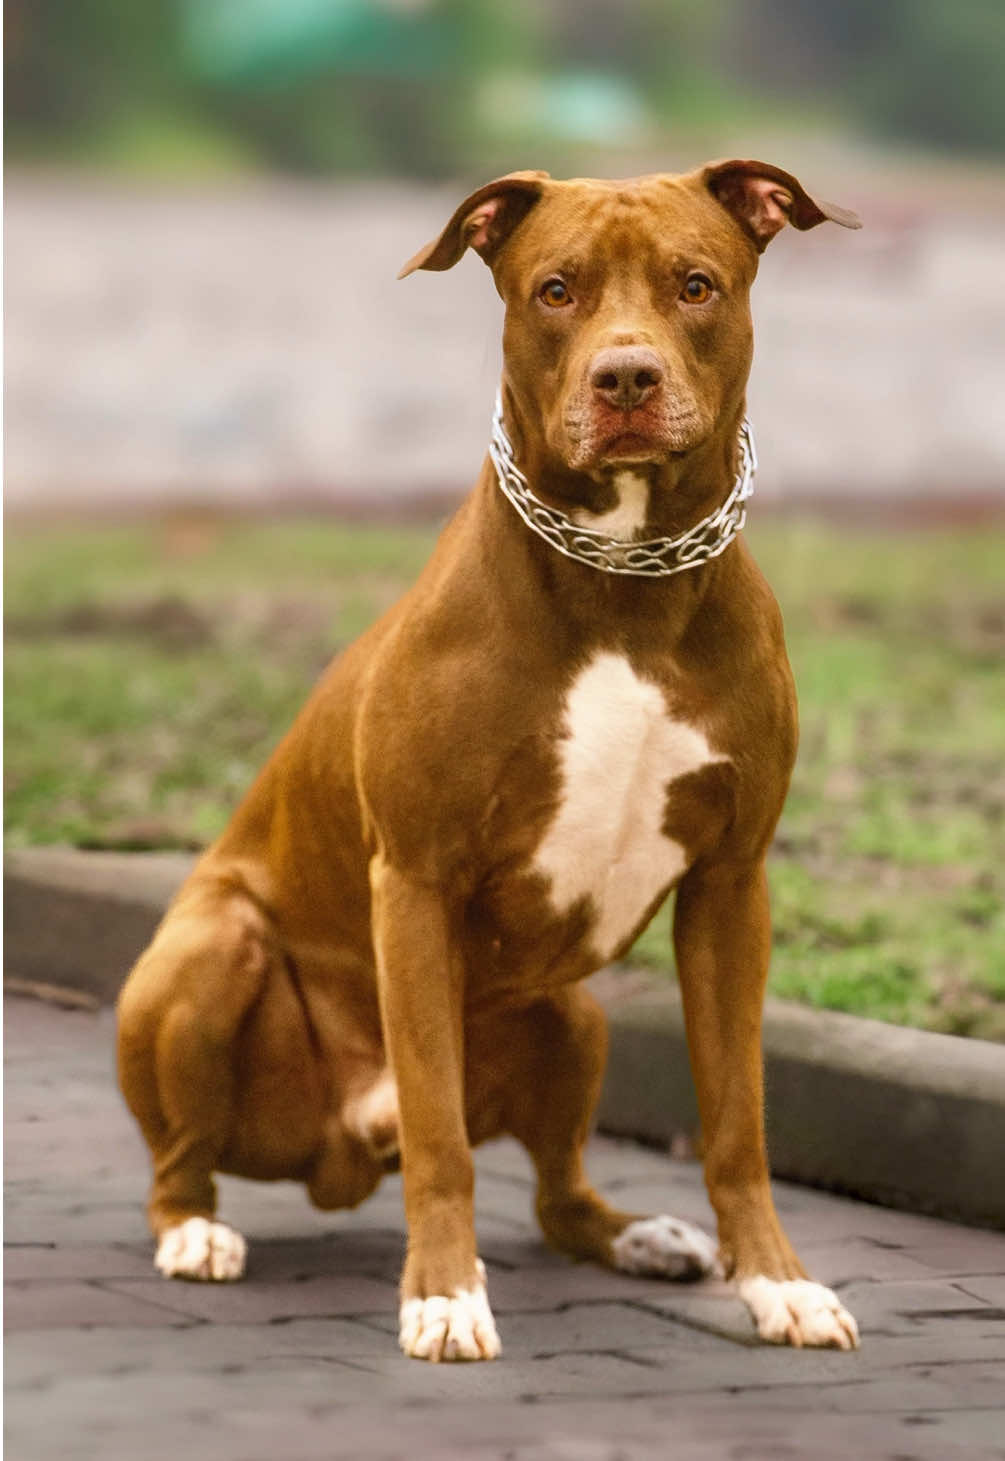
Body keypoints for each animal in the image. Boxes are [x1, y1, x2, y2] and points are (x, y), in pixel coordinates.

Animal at [113, 159, 858, 1355]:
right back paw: (195, 1234)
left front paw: (777, 1284)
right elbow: (441, 1132)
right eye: (555, 289)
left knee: (557, 1198)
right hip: (210, 953)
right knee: (181, 1160)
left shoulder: (731, 885)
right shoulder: (416, 880)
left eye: (695, 284)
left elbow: (736, 1120)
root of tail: (335, 1156)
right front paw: (445, 1294)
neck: (626, 579)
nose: (625, 376)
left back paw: (641, 1236)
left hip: (573, 1017)